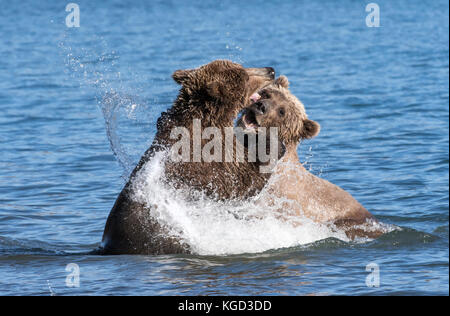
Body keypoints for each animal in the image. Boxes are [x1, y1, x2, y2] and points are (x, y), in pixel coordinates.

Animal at [100, 60, 280, 256]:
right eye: (246, 76)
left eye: (243, 67)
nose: (270, 70)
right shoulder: (205, 162)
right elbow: (242, 181)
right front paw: (271, 142)